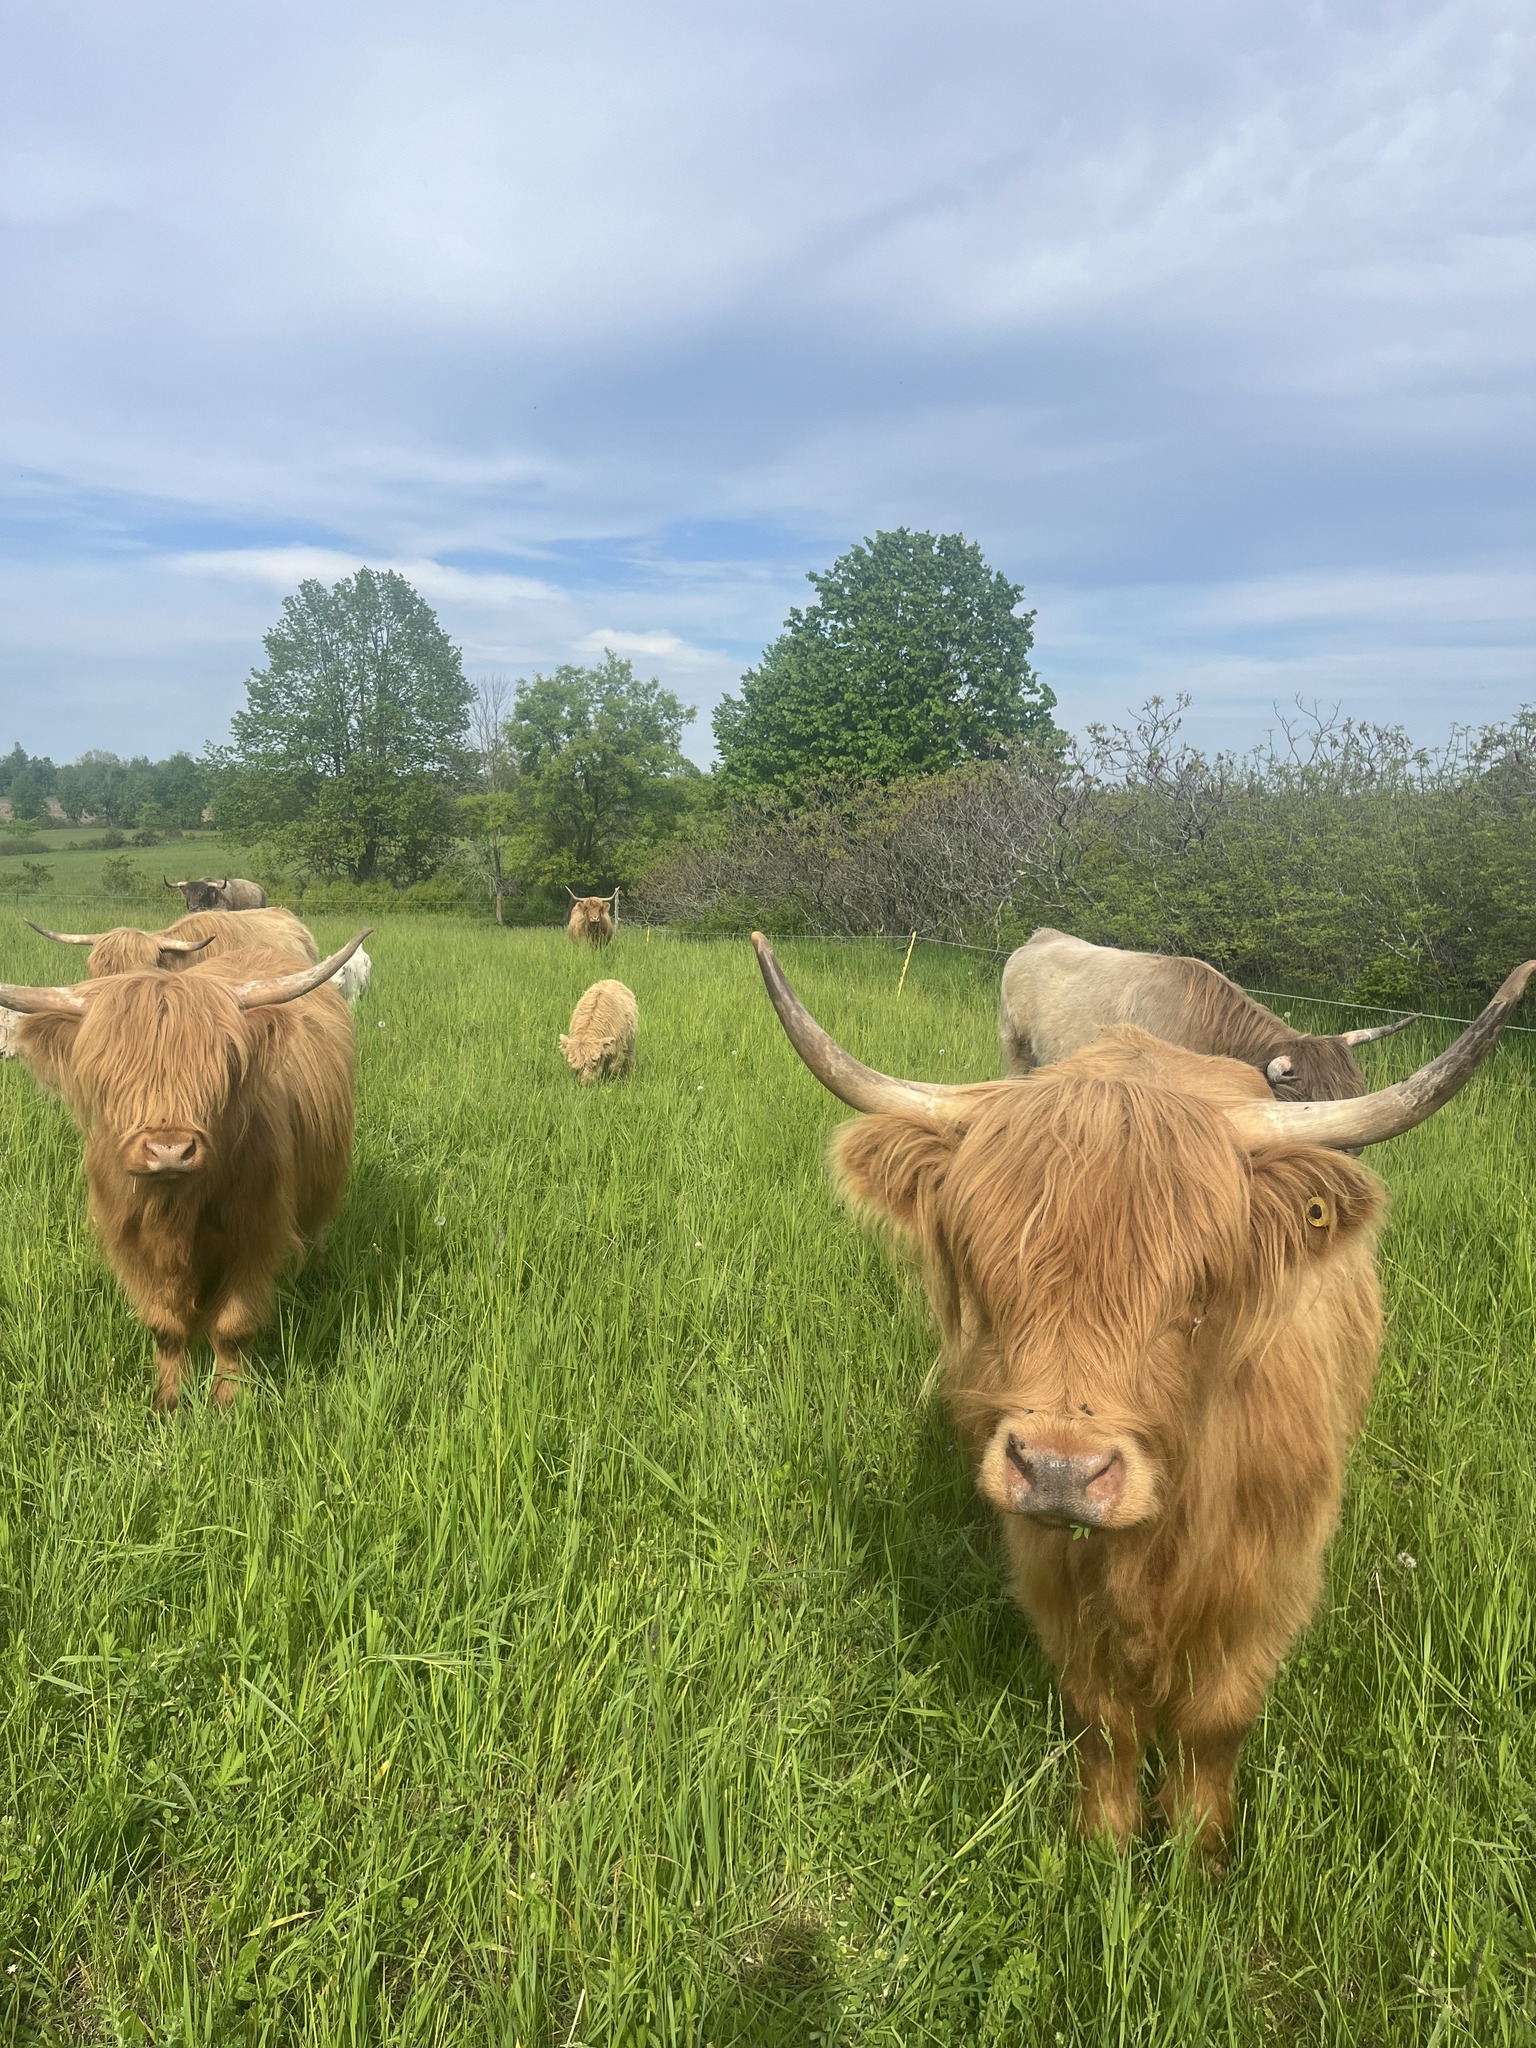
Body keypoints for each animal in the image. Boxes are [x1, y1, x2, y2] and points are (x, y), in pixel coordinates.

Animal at [0, 931, 369, 1411]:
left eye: (221, 1065)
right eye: (110, 1072)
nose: (169, 1150)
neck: (175, 1209)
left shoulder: (256, 1235)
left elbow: (232, 1327)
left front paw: (227, 1400)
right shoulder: (132, 1242)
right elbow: (166, 1328)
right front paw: (169, 1401)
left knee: (318, 1224)